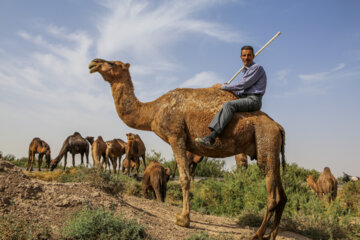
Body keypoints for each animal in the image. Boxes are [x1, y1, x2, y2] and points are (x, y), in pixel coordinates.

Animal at [88, 58, 286, 240]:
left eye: (112, 63)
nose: (93, 63)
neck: (154, 111)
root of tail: (278, 126)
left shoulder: (176, 136)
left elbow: (185, 178)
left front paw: (183, 219)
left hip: (266, 140)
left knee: (272, 195)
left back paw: (258, 234)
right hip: (271, 149)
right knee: (282, 195)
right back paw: (272, 235)